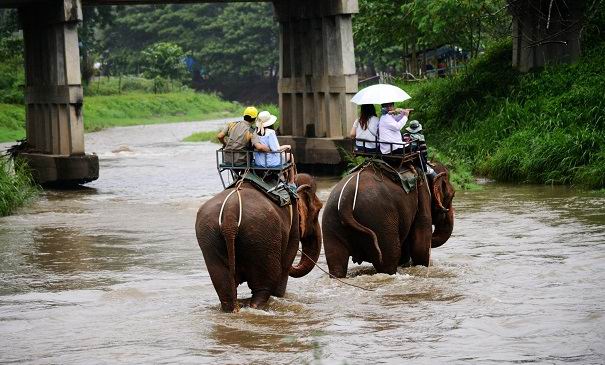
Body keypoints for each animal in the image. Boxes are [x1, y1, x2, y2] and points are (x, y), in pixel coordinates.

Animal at [196, 173, 324, 310]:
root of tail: (230, 213)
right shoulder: (293, 223)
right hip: (262, 236)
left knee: (225, 289)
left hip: (210, 236)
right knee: (262, 289)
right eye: (318, 210)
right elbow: (286, 263)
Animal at [320, 161, 452, 278]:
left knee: (336, 262)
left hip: (330, 222)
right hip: (380, 221)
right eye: (451, 196)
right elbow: (420, 246)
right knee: (390, 258)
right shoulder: (423, 193)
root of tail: (345, 202)